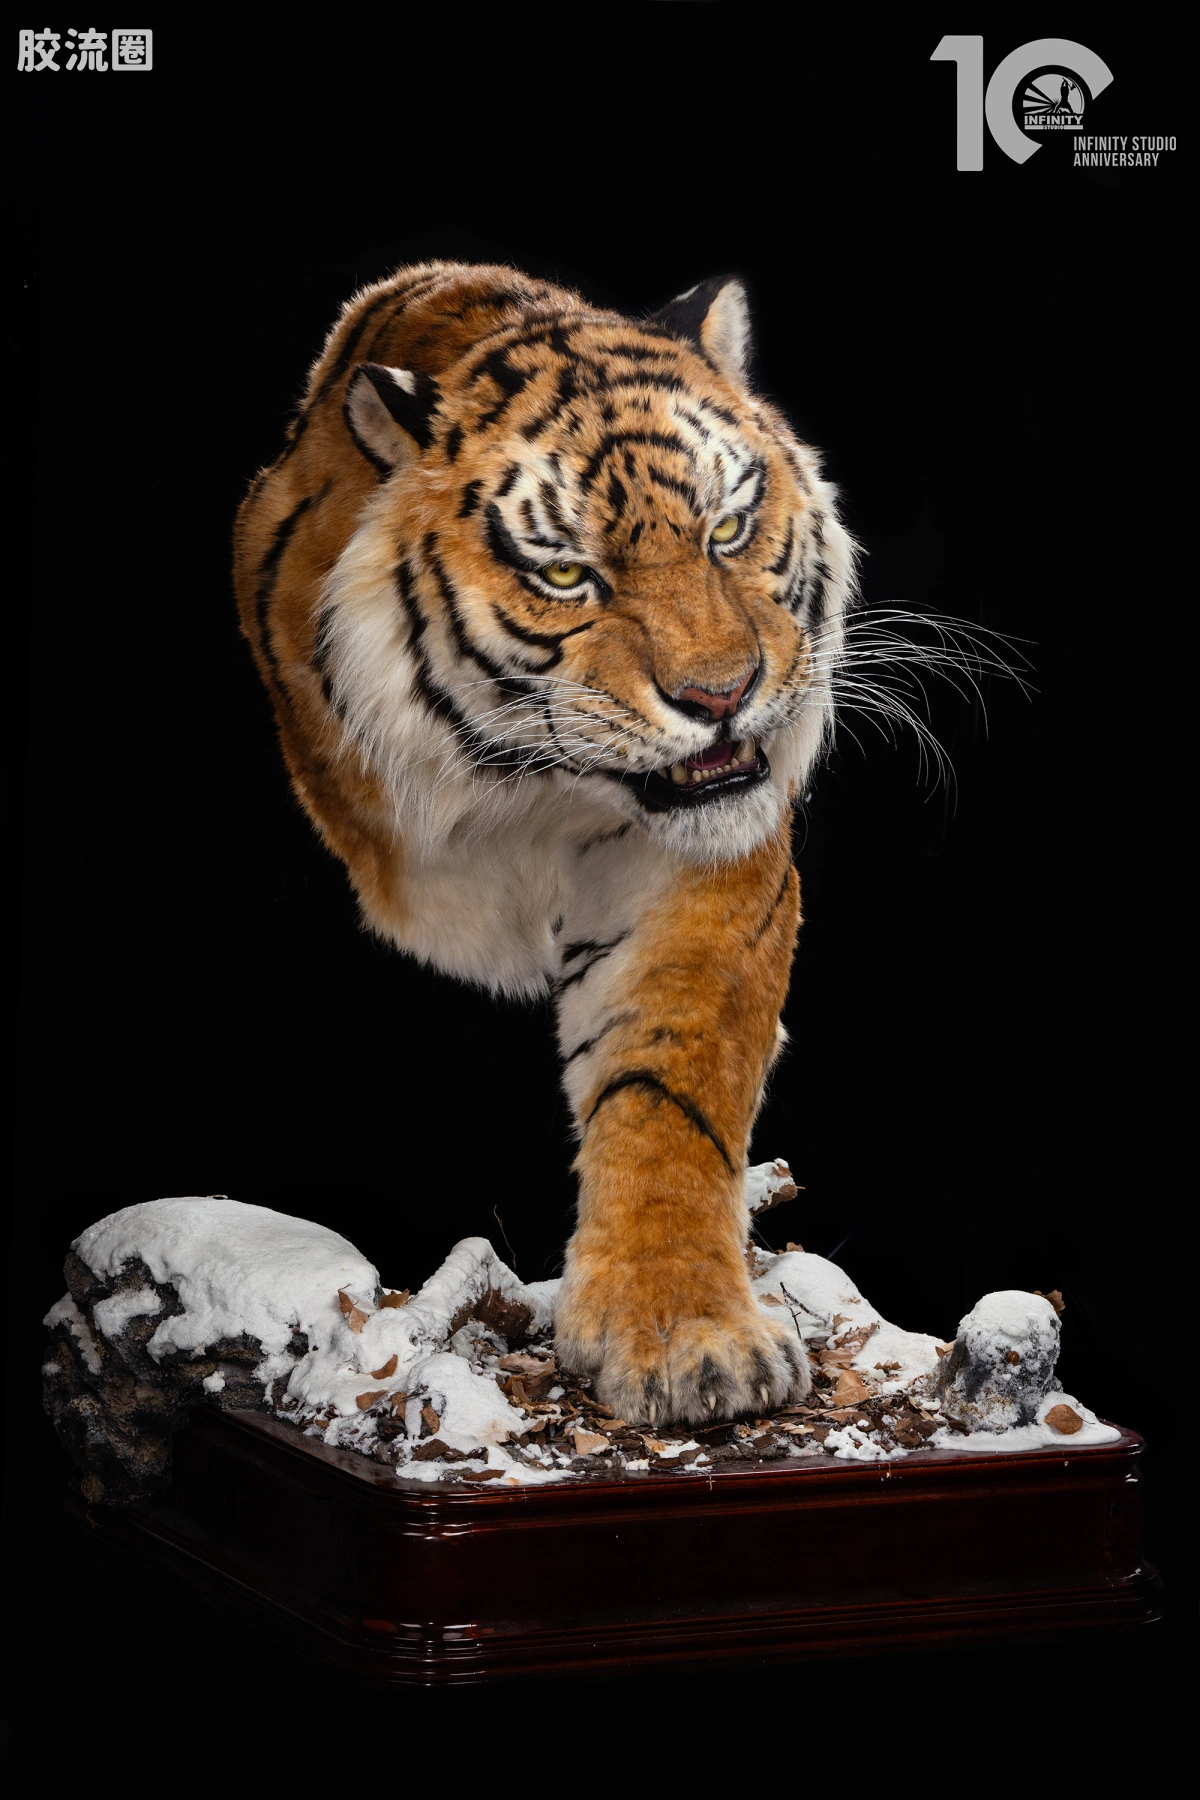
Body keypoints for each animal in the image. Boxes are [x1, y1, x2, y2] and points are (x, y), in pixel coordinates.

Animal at [233, 260, 857, 1428]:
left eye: (728, 530)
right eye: (569, 578)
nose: (721, 696)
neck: (527, 795)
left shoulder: (694, 877)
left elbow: (668, 1094)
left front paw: (687, 1340)